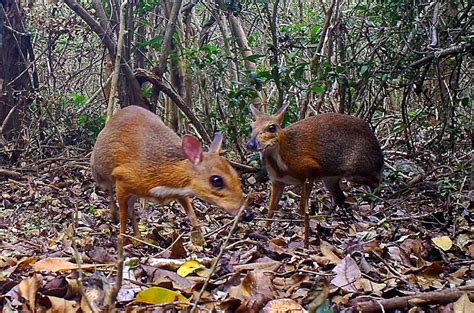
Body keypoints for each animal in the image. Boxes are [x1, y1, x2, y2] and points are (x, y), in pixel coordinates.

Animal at [91, 103, 244, 243]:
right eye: (216, 180)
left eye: (236, 175)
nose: (246, 214)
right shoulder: (122, 178)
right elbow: (123, 217)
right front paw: (122, 239)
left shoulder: (180, 191)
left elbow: (192, 214)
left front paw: (201, 239)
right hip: (100, 172)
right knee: (110, 190)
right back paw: (114, 216)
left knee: (130, 208)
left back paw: (138, 237)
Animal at [248, 103, 386, 228]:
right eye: (251, 127)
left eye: (272, 128)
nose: (250, 144)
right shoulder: (277, 181)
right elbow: (271, 208)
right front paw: (265, 227)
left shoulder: (310, 172)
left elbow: (302, 206)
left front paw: (302, 226)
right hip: (330, 178)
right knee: (340, 197)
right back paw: (327, 216)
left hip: (357, 170)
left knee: (377, 183)